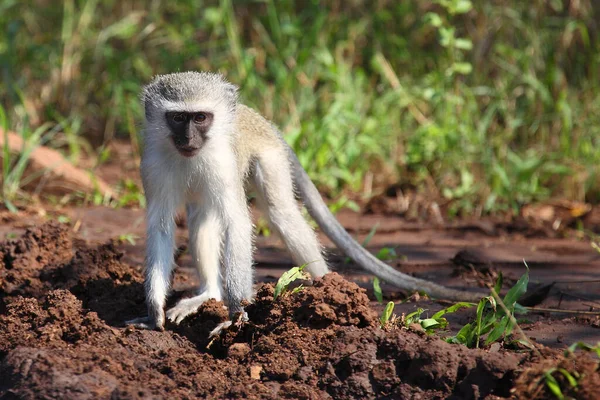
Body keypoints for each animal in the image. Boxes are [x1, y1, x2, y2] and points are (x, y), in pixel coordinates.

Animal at [125, 72, 478, 332]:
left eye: (200, 118)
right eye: (178, 119)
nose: (188, 139)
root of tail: (257, 118)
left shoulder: (223, 162)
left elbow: (238, 223)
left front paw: (236, 315)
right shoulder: (152, 164)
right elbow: (160, 226)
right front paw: (154, 311)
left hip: (269, 157)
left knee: (281, 214)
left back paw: (329, 291)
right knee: (202, 217)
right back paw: (209, 294)